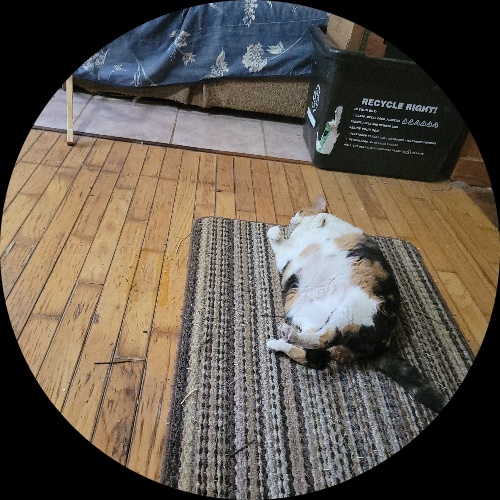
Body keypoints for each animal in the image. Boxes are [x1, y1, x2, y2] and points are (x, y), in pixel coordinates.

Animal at [266, 195, 446, 413]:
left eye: (300, 210)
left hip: (354, 308)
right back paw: (279, 341)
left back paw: (287, 335)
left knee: (324, 340)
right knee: (317, 356)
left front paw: (281, 228)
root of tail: (384, 344)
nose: (291, 219)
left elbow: (284, 232)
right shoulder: (286, 257)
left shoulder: (297, 246)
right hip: (313, 316)